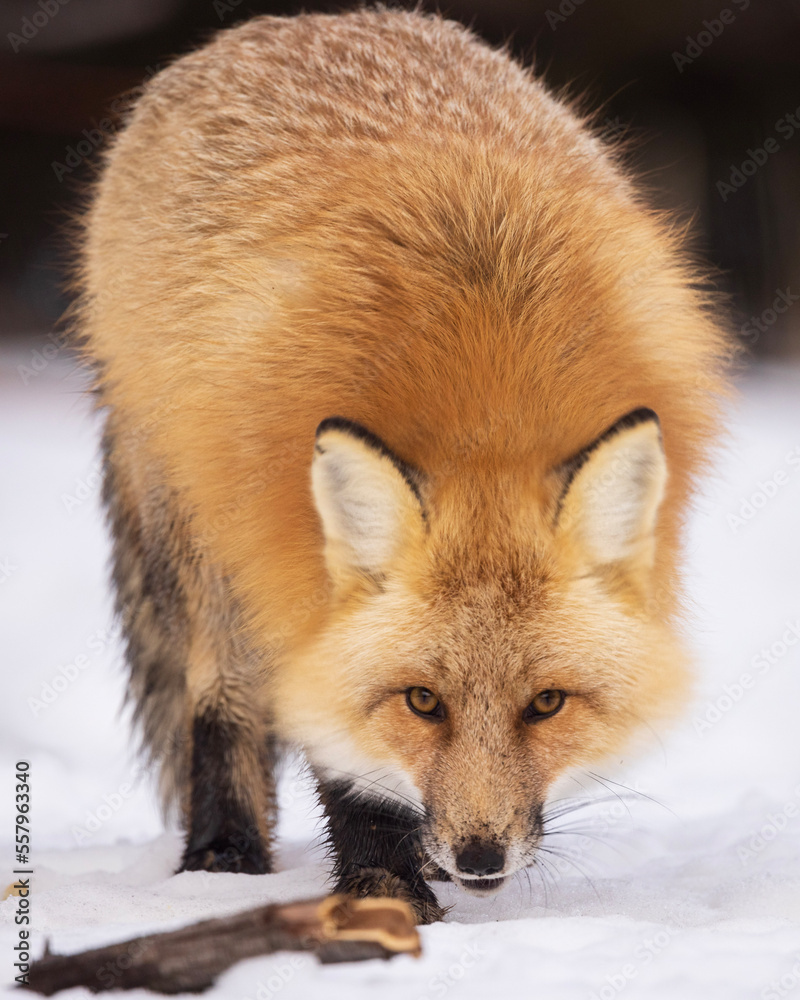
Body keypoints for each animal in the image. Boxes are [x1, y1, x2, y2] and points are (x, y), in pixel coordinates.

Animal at [72, 7, 731, 923]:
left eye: (546, 704)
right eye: (423, 703)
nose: (480, 857)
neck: (486, 410)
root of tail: (302, 21)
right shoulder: (285, 572)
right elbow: (340, 743)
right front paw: (384, 890)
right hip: (199, 534)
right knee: (220, 703)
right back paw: (223, 859)